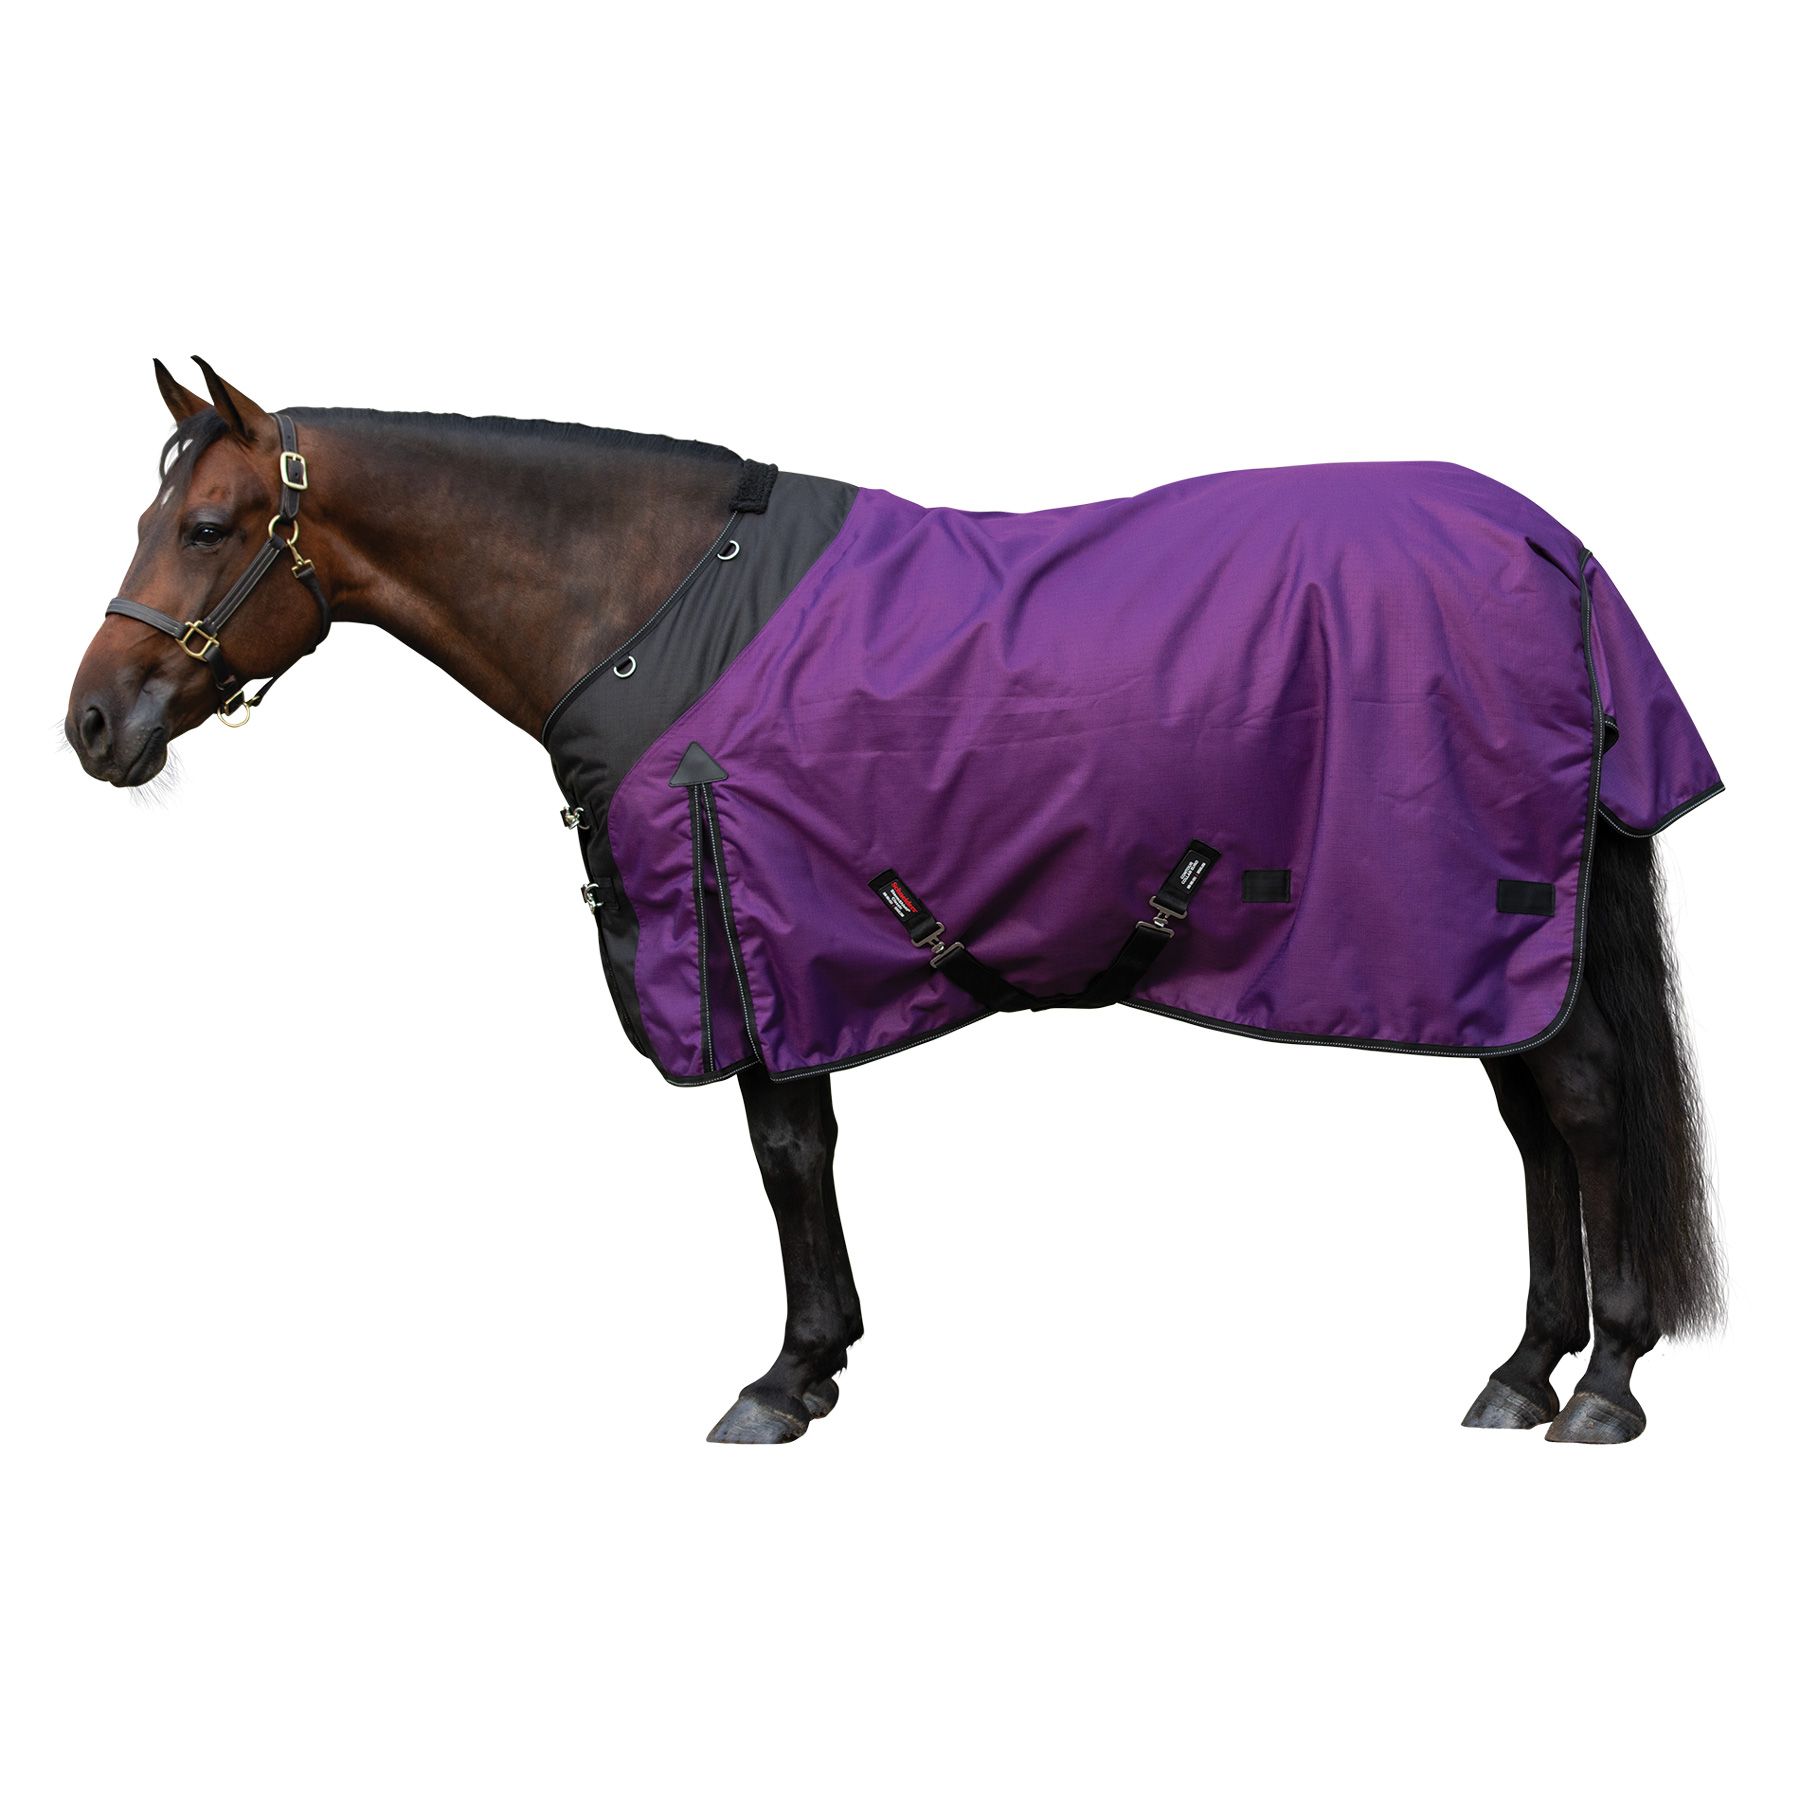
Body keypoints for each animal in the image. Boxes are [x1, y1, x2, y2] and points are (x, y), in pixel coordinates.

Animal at [65, 359, 1724, 1445]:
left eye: (207, 527)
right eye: (149, 519)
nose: (90, 725)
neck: (652, 604)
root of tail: (1550, 547)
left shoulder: (755, 934)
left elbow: (788, 1156)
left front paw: (787, 1377)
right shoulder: (784, 936)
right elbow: (800, 1157)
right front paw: (821, 1360)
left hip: (1488, 916)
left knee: (1580, 1106)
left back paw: (1603, 1384)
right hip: (1491, 947)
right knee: (1534, 1125)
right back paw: (1522, 1370)